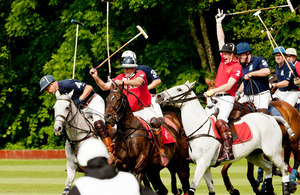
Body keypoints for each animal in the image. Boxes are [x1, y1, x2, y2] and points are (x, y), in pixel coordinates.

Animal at [156, 80, 290, 195]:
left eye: (179, 89)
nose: (158, 96)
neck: (200, 129)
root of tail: (271, 118)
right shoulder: (206, 167)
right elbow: (211, 190)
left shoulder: (202, 163)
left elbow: (191, 189)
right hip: (253, 155)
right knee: (268, 167)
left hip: (273, 152)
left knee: (284, 168)